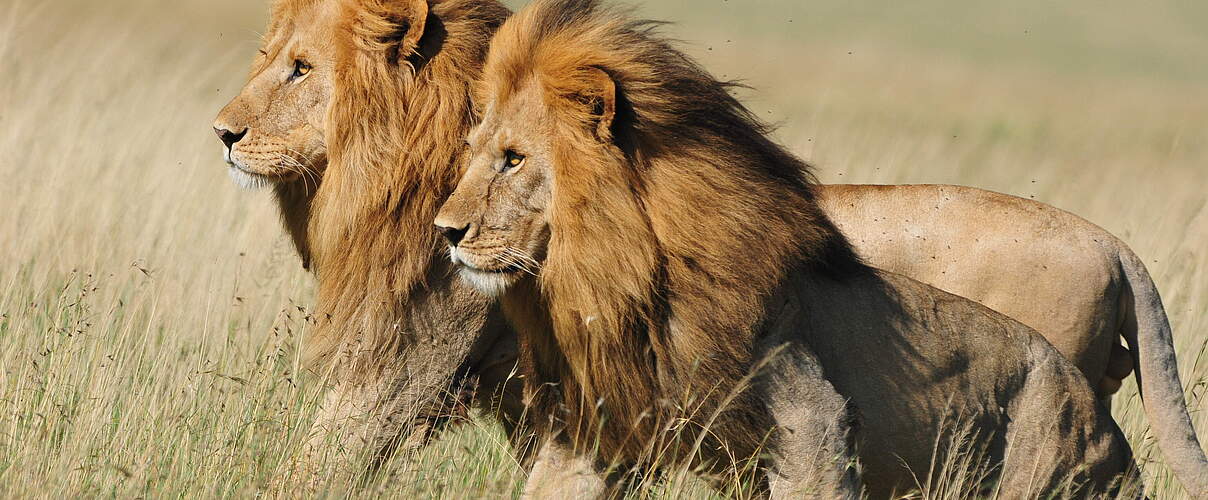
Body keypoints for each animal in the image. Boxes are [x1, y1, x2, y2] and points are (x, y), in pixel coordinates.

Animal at [432, 0, 1186, 496]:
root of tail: (1118, 246)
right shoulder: (596, 428)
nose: (446, 232)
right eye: (474, 152)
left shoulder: (812, 413)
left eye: (512, 160)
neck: (613, 270)